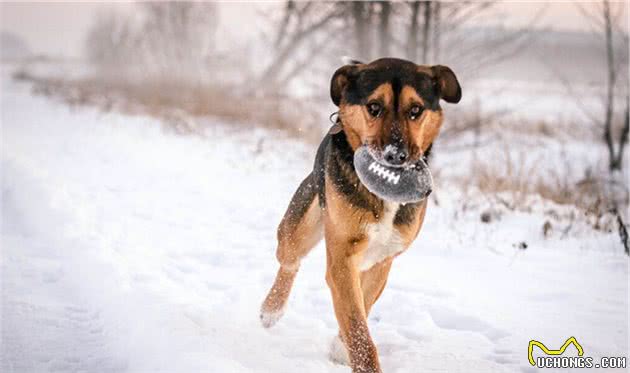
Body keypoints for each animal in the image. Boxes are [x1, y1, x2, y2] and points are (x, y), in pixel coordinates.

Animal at [260, 56, 462, 370]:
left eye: (415, 110)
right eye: (374, 107)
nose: (395, 156)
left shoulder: (383, 259)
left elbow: (362, 307)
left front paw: (340, 347)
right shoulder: (342, 256)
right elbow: (357, 326)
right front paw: (362, 359)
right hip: (299, 227)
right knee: (290, 260)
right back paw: (272, 309)